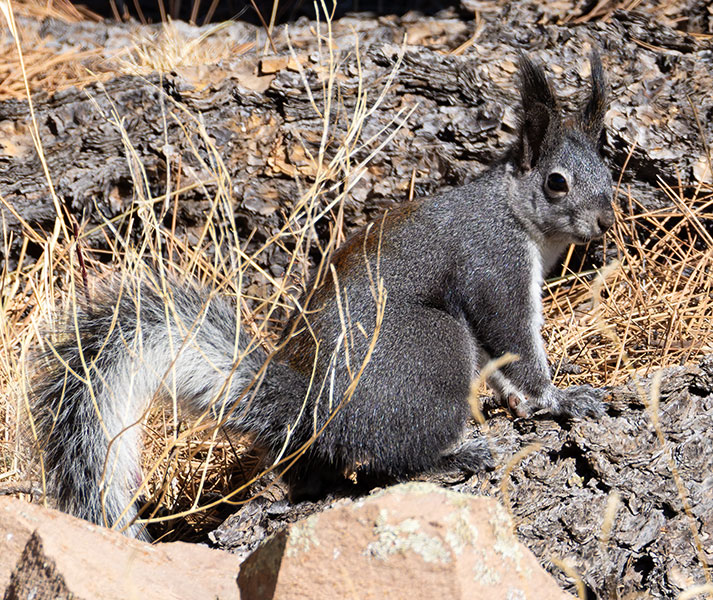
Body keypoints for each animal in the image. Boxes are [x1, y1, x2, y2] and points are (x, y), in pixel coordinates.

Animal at [28, 52, 614, 540]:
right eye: (557, 183)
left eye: (609, 171)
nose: (605, 220)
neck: (514, 210)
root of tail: (314, 412)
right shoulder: (494, 262)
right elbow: (511, 336)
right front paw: (559, 399)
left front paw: (526, 401)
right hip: (431, 349)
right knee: (392, 459)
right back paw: (451, 458)